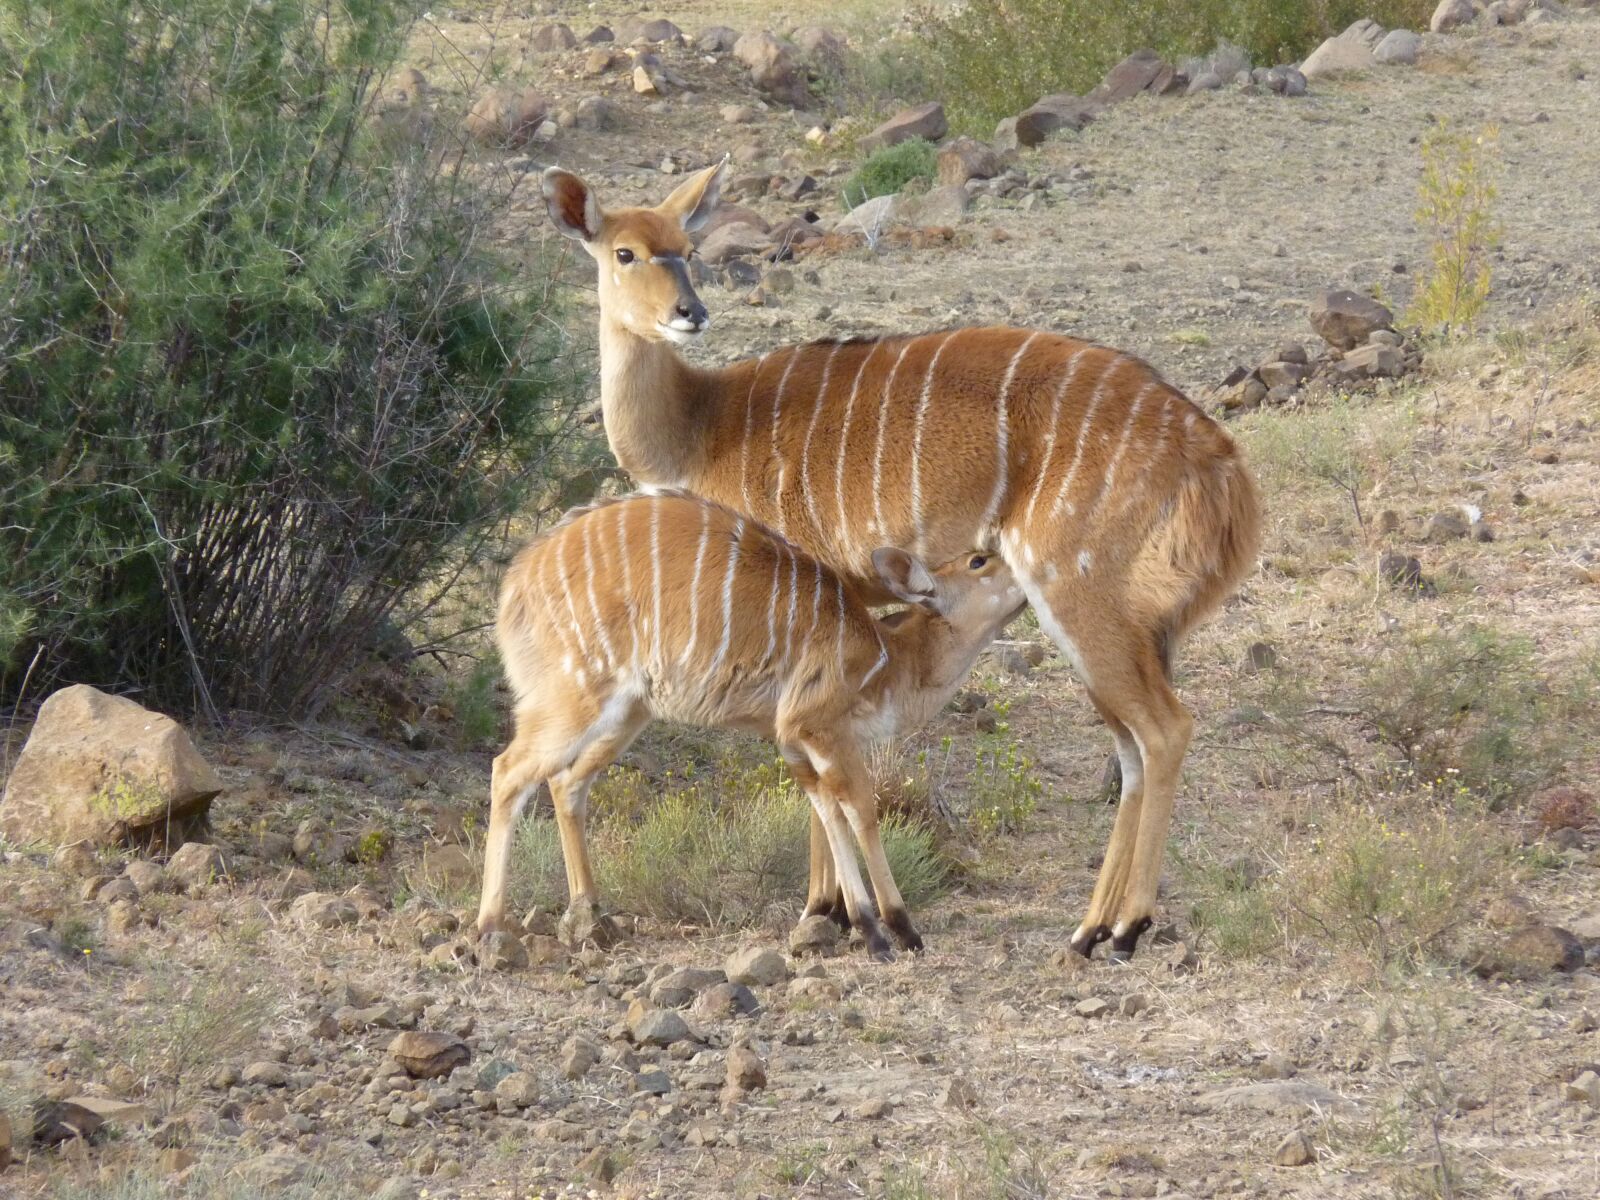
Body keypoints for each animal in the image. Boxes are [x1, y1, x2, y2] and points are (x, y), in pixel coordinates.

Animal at [473, 492, 1024, 966]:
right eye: (979, 562)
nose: (1025, 571)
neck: (890, 658)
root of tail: (516, 584)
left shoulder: (796, 742)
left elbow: (825, 811)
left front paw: (833, 918)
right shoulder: (820, 728)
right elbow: (859, 811)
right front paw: (894, 930)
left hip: (628, 713)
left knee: (567, 783)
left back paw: (590, 914)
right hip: (578, 697)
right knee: (509, 770)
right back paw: (489, 926)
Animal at [544, 164, 1267, 966]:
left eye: (686, 248)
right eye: (626, 252)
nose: (690, 312)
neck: (700, 426)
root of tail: (1220, 461)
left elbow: (815, 767)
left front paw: (824, 914)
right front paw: (840, 914)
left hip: (1077, 591)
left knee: (1163, 730)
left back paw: (1123, 928)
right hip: (1120, 622)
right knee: (1130, 745)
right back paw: (1092, 930)